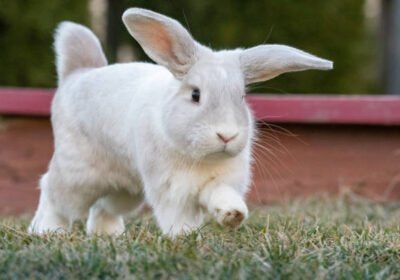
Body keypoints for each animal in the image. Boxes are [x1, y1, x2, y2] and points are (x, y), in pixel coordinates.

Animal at [28, 7, 332, 236]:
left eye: (242, 96)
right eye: (196, 95)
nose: (226, 135)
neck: (200, 157)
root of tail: (76, 76)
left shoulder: (219, 181)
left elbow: (220, 195)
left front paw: (233, 215)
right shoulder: (172, 190)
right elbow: (178, 216)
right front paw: (185, 237)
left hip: (126, 189)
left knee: (103, 206)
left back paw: (108, 234)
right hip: (78, 175)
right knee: (52, 192)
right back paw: (46, 230)